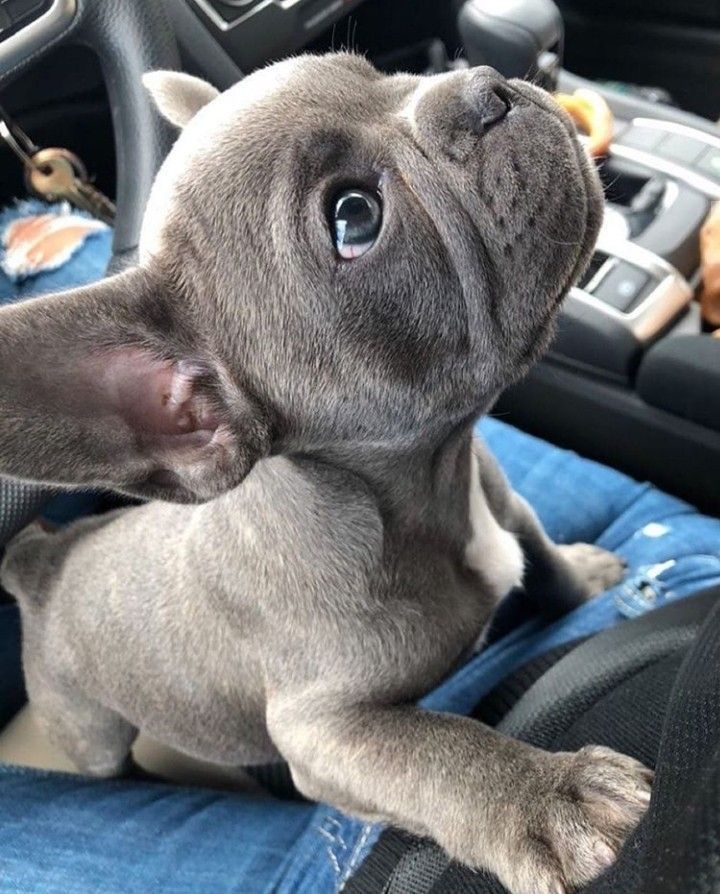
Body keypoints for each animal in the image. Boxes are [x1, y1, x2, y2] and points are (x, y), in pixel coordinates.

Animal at [0, 54, 652, 894]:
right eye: (353, 218)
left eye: (375, 71)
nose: (484, 87)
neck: (432, 489)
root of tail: (38, 563)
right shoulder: (327, 732)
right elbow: (438, 752)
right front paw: (546, 796)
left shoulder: (507, 505)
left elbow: (544, 562)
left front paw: (586, 576)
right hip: (88, 728)